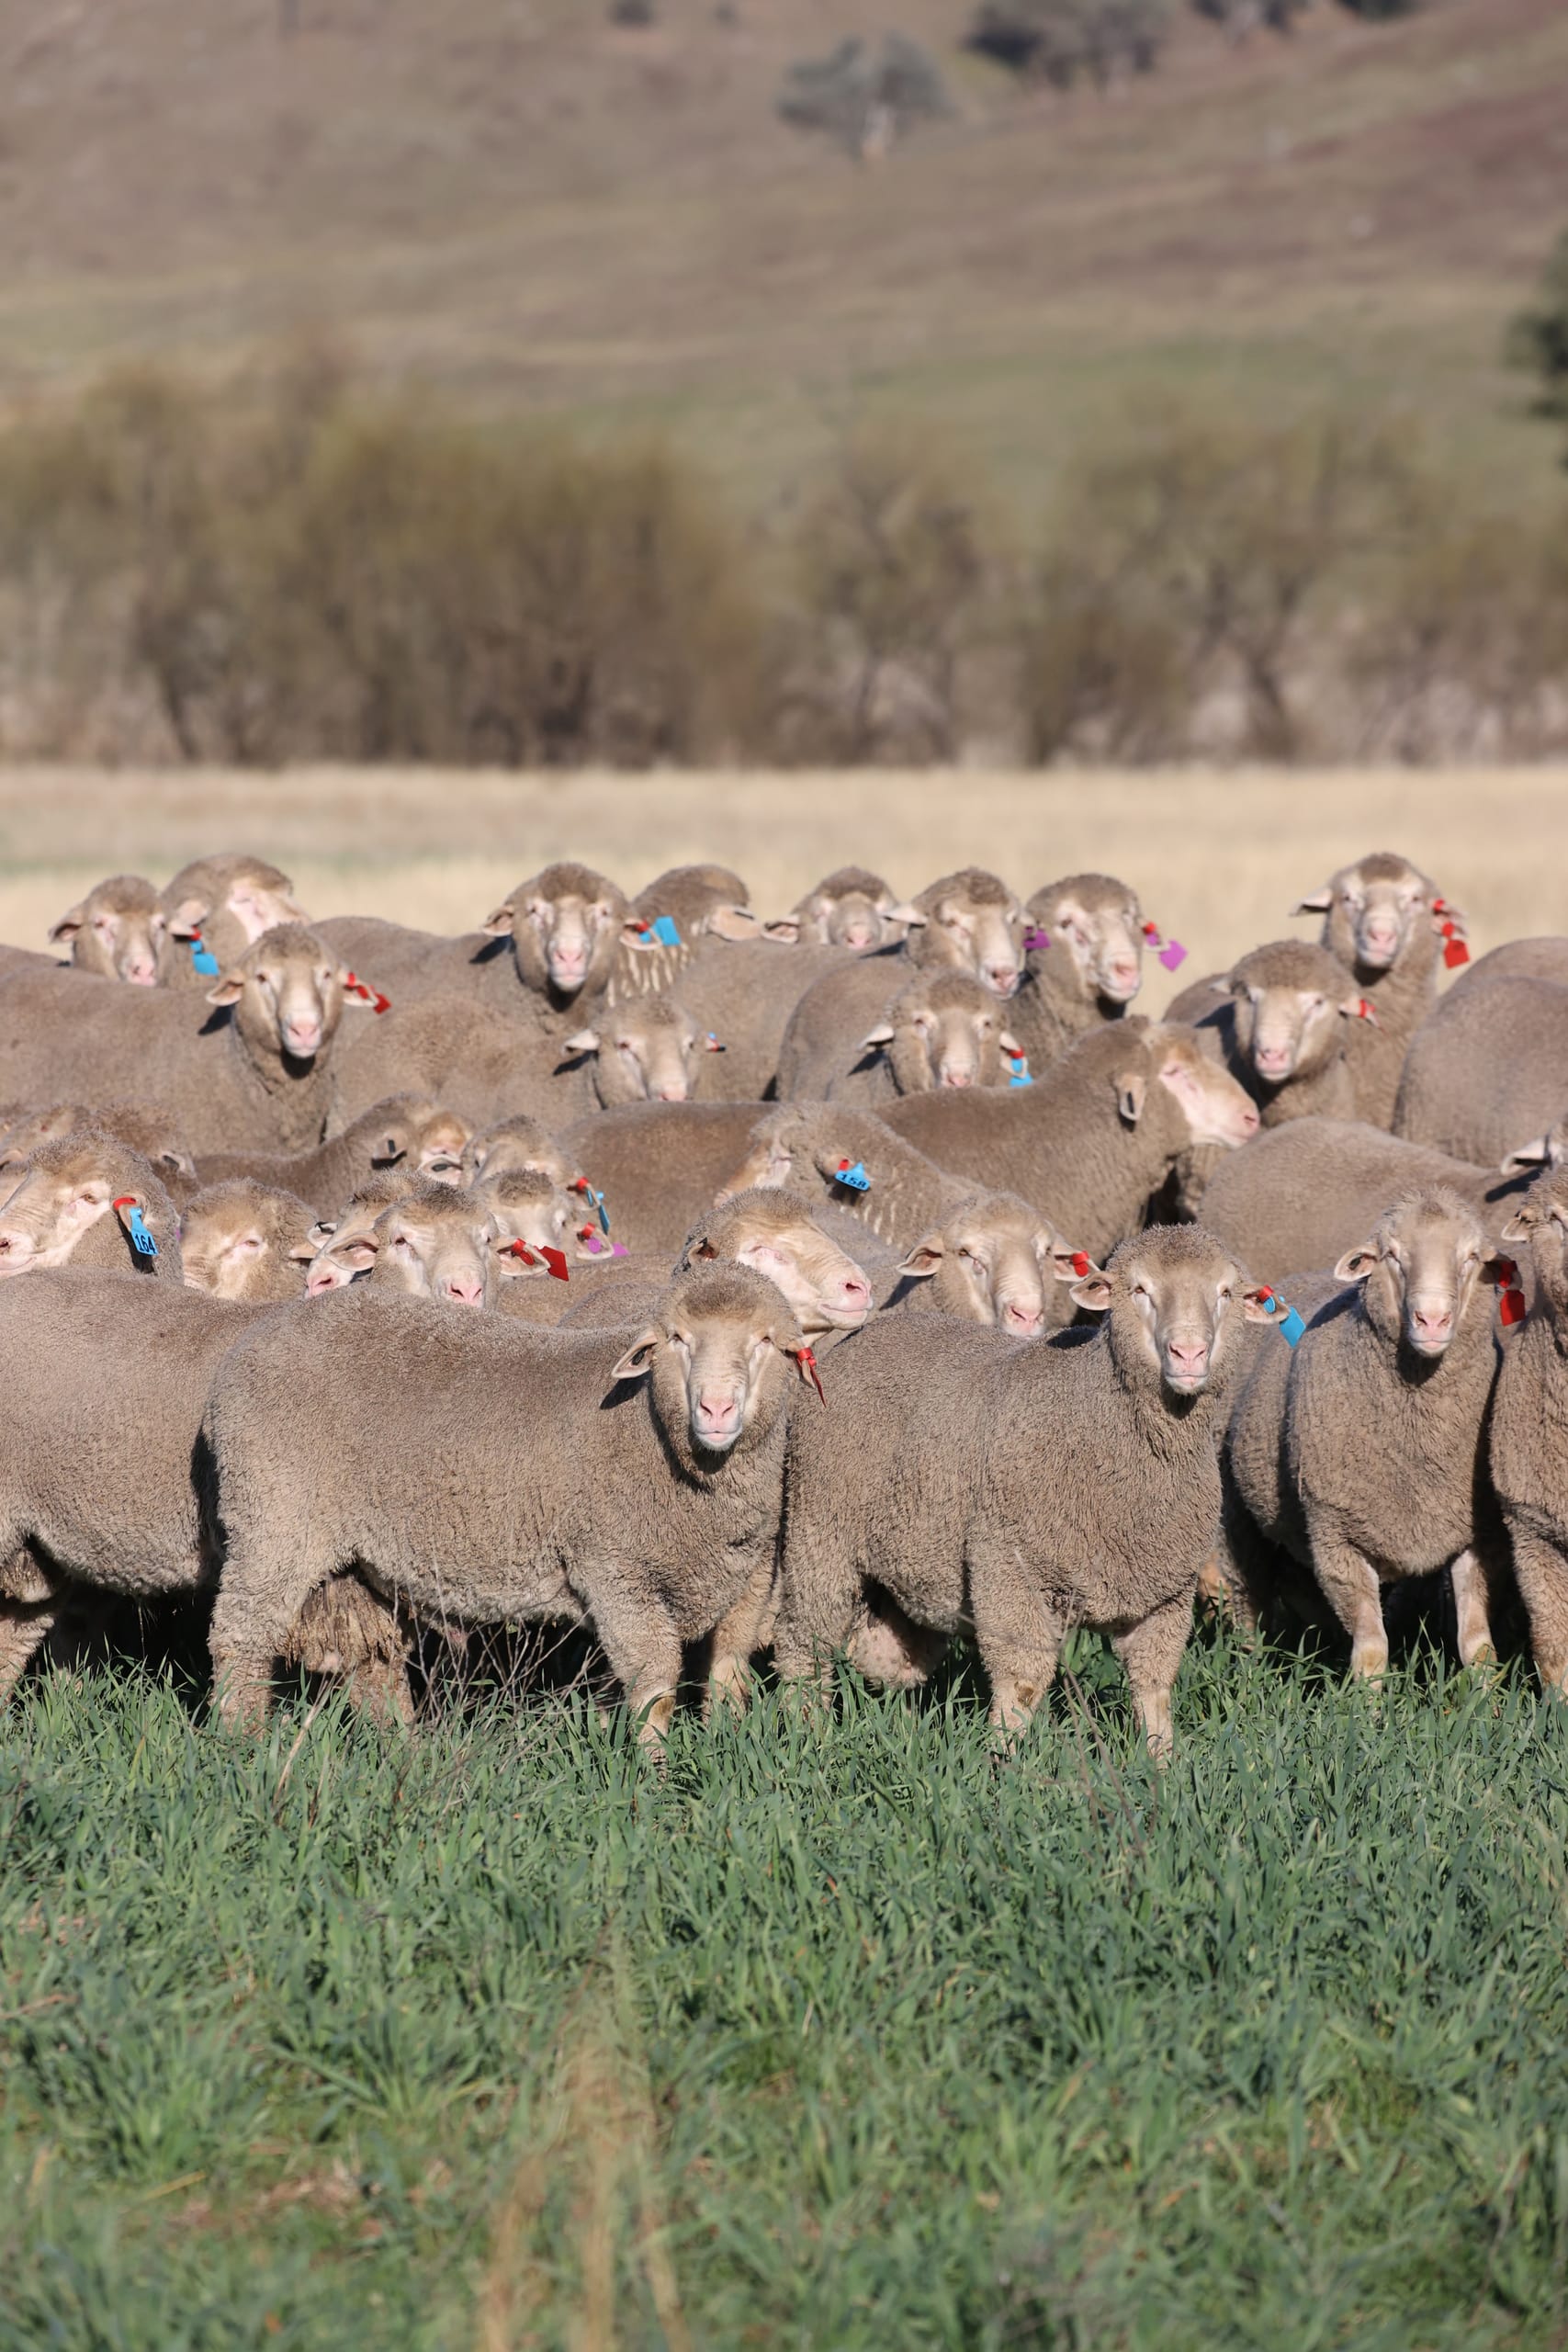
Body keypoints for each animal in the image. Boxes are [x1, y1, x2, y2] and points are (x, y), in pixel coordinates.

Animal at [204, 1264, 815, 1744]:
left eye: (765, 1341)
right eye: (678, 1339)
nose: (716, 1410)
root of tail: (255, 1339)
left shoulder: (750, 1578)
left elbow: (729, 1676)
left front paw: (723, 1751)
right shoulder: (615, 1573)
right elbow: (655, 1690)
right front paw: (654, 1781)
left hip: (356, 1560)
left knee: (371, 1658)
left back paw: (402, 1747)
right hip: (273, 1520)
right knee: (240, 1637)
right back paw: (242, 1742)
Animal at [775, 1225, 1268, 1757]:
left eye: (1225, 1293)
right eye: (1139, 1290)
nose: (1189, 1354)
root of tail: (860, 1338)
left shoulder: (1165, 1597)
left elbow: (1153, 1687)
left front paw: (1160, 1764)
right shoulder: (1012, 1570)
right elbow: (1023, 1684)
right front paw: (1003, 1762)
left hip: (909, 1560)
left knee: (883, 1653)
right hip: (820, 1533)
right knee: (804, 1645)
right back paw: (807, 1734)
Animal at [1224, 1190, 1508, 1678]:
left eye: (1471, 1256)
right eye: (1391, 1254)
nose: (1432, 1319)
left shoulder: (1475, 1535)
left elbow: (1478, 1646)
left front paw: (1486, 1697)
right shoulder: (1337, 1534)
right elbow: (1372, 1650)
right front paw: (1365, 1700)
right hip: (1237, 1513)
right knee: (1248, 1601)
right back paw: (1249, 1671)